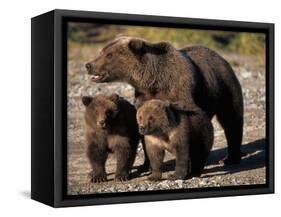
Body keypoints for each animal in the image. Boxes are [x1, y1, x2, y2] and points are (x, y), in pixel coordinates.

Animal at [85, 36, 243, 165]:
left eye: (109, 55)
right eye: (102, 51)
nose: (88, 65)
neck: (153, 81)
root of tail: (220, 56)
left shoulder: (180, 91)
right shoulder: (143, 97)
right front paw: (147, 164)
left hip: (224, 86)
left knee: (232, 119)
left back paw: (230, 158)